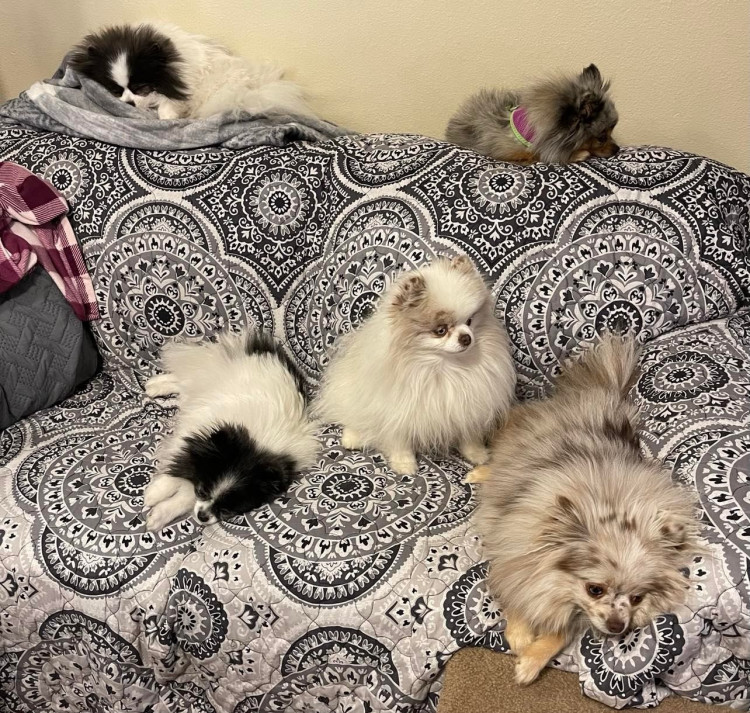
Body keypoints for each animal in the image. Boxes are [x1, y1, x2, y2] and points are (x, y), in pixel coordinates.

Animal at [143, 330, 318, 531]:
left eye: (226, 511)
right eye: (202, 491)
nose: (202, 517)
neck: (257, 445)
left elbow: (185, 493)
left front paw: (159, 514)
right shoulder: (195, 433)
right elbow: (178, 463)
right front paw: (155, 492)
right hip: (209, 374)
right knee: (184, 377)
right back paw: (155, 385)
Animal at [314, 255, 516, 475]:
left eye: (470, 321)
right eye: (440, 330)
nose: (466, 338)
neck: (445, 367)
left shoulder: (468, 407)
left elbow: (469, 436)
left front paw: (477, 454)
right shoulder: (397, 410)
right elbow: (399, 440)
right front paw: (404, 463)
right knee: (352, 416)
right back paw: (353, 437)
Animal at [470, 335, 700, 685]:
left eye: (637, 598)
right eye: (595, 589)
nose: (619, 627)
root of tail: (600, 395)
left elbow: (561, 632)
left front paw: (532, 661)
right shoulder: (513, 551)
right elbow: (517, 592)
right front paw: (521, 636)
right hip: (515, 445)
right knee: (497, 460)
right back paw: (479, 474)